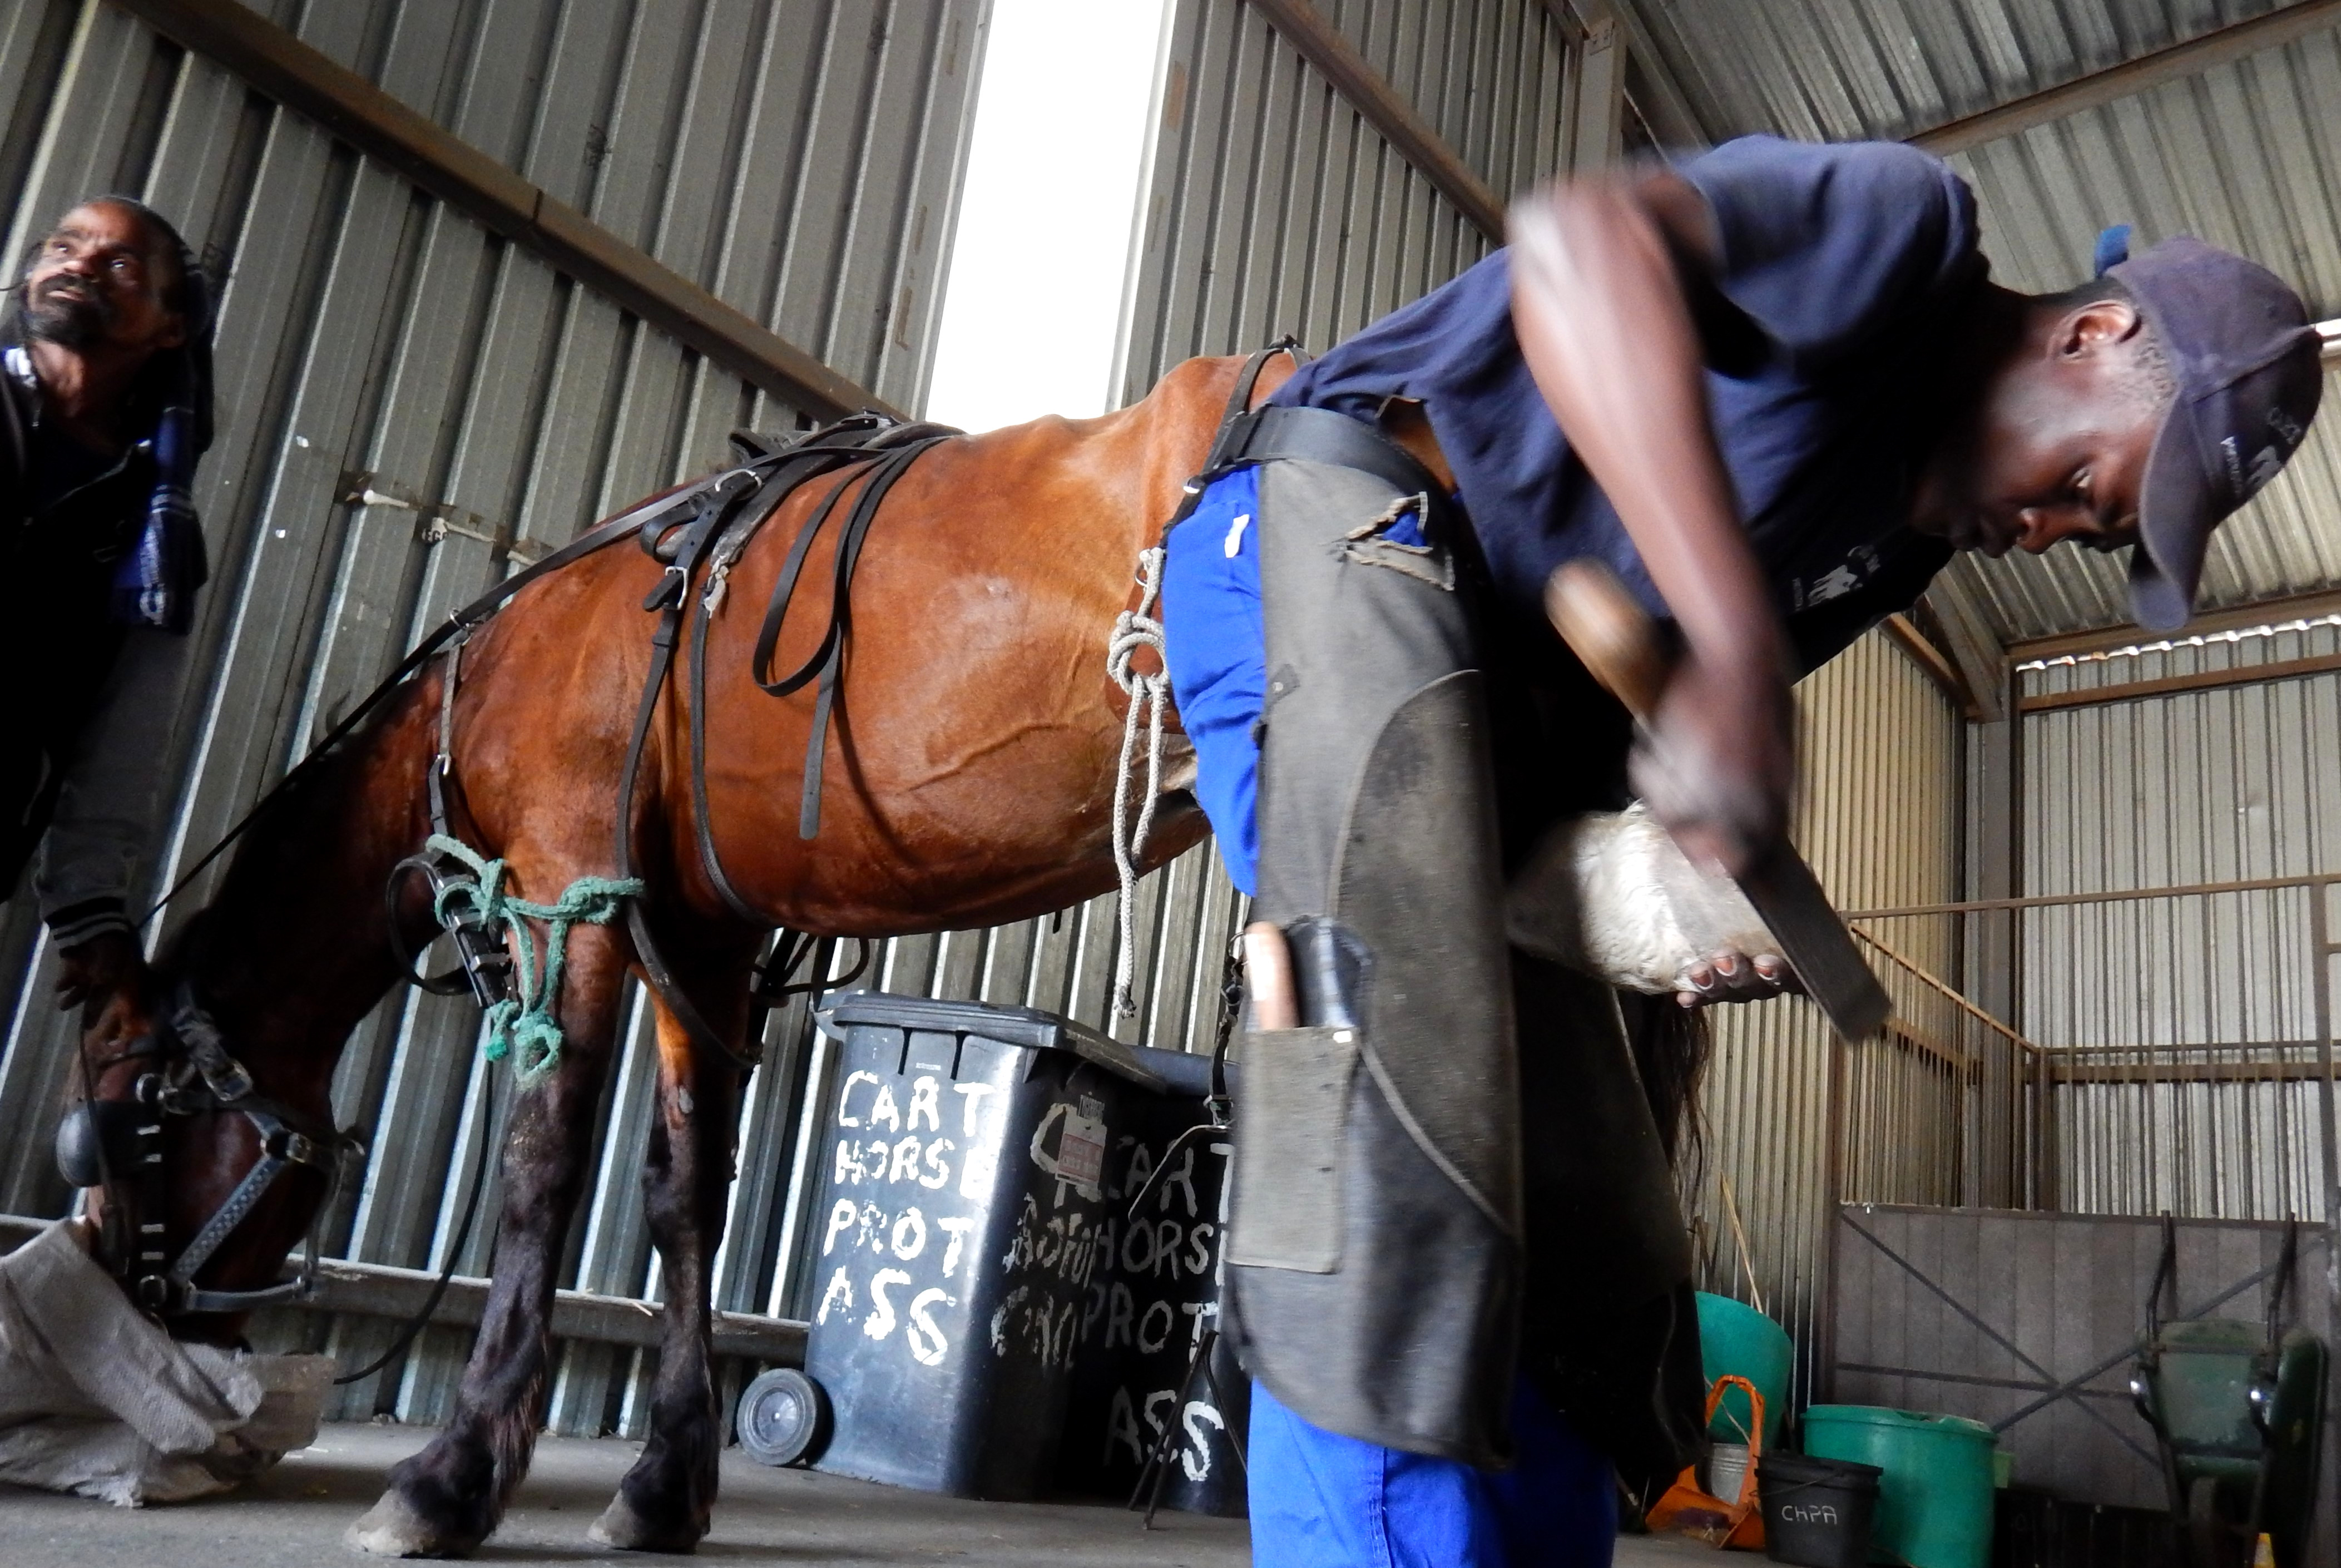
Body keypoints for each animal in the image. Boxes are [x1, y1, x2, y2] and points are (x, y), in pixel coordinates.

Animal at [73, 351, 1292, 1554]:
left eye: (130, 1121)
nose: (142, 1297)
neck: (491, 673)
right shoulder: (703, 938)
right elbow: (684, 1188)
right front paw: (667, 1478)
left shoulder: (564, 892)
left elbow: (542, 1168)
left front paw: (456, 1471)